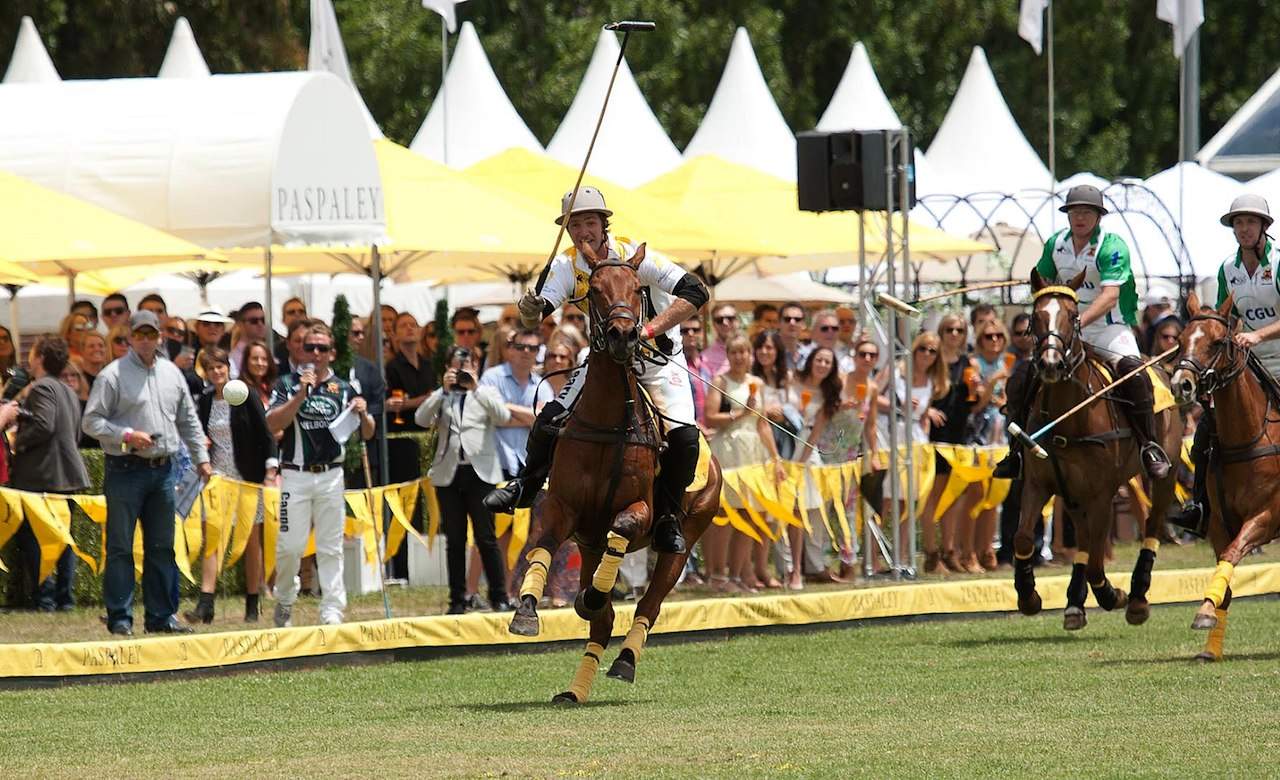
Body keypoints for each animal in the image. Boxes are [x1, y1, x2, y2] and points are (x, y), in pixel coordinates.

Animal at [509, 242, 732, 701]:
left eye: (636, 289)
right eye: (593, 290)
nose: (624, 336)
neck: (608, 422)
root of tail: (715, 462)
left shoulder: (640, 510)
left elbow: (626, 527)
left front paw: (592, 597)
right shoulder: (563, 509)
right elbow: (543, 550)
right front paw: (526, 612)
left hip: (686, 539)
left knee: (649, 604)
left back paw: (625, 660)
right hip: (591, 544)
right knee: (603, 620)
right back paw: (575, 690)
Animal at [1013, 270, 1182, 630]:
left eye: (1073, 316)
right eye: (1035, 316)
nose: (1050, 364)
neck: (1067, 417)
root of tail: (1158, 365)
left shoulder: (1102, 493)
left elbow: (1094, 564)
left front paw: (1112, 595)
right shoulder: (1038, 483)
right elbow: (1022, 537)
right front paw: (1029, 597)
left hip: (1167, 471)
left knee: (1152, 525)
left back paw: (1136, 599)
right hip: (1073, 493)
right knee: (1083, 537)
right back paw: (1074, 605)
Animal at [1172, 290, 1280, 655]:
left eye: (1218, 342)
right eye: (1179, 340)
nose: (1181, 385)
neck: (1248, 435)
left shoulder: (1266, 516)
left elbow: (1234, 552)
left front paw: (1204, 615)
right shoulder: (1218, 521)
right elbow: (1226, 574)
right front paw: (1209, 639)